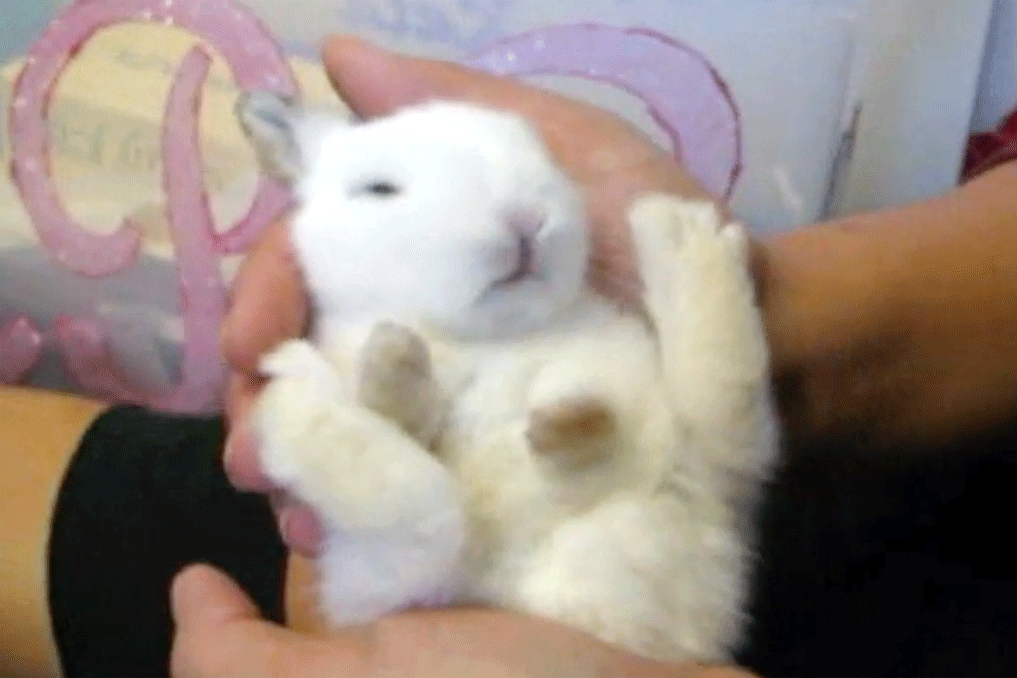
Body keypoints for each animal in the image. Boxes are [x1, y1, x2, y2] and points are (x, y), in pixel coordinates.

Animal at [236, 90, 779, 664]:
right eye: (377, 189)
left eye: (539, 152)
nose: (525, 219)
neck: (491, 341)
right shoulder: (379, 583)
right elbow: (425, 506)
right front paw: (316, 383)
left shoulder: (705, 467)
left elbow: (722, 393)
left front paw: (570, 418)